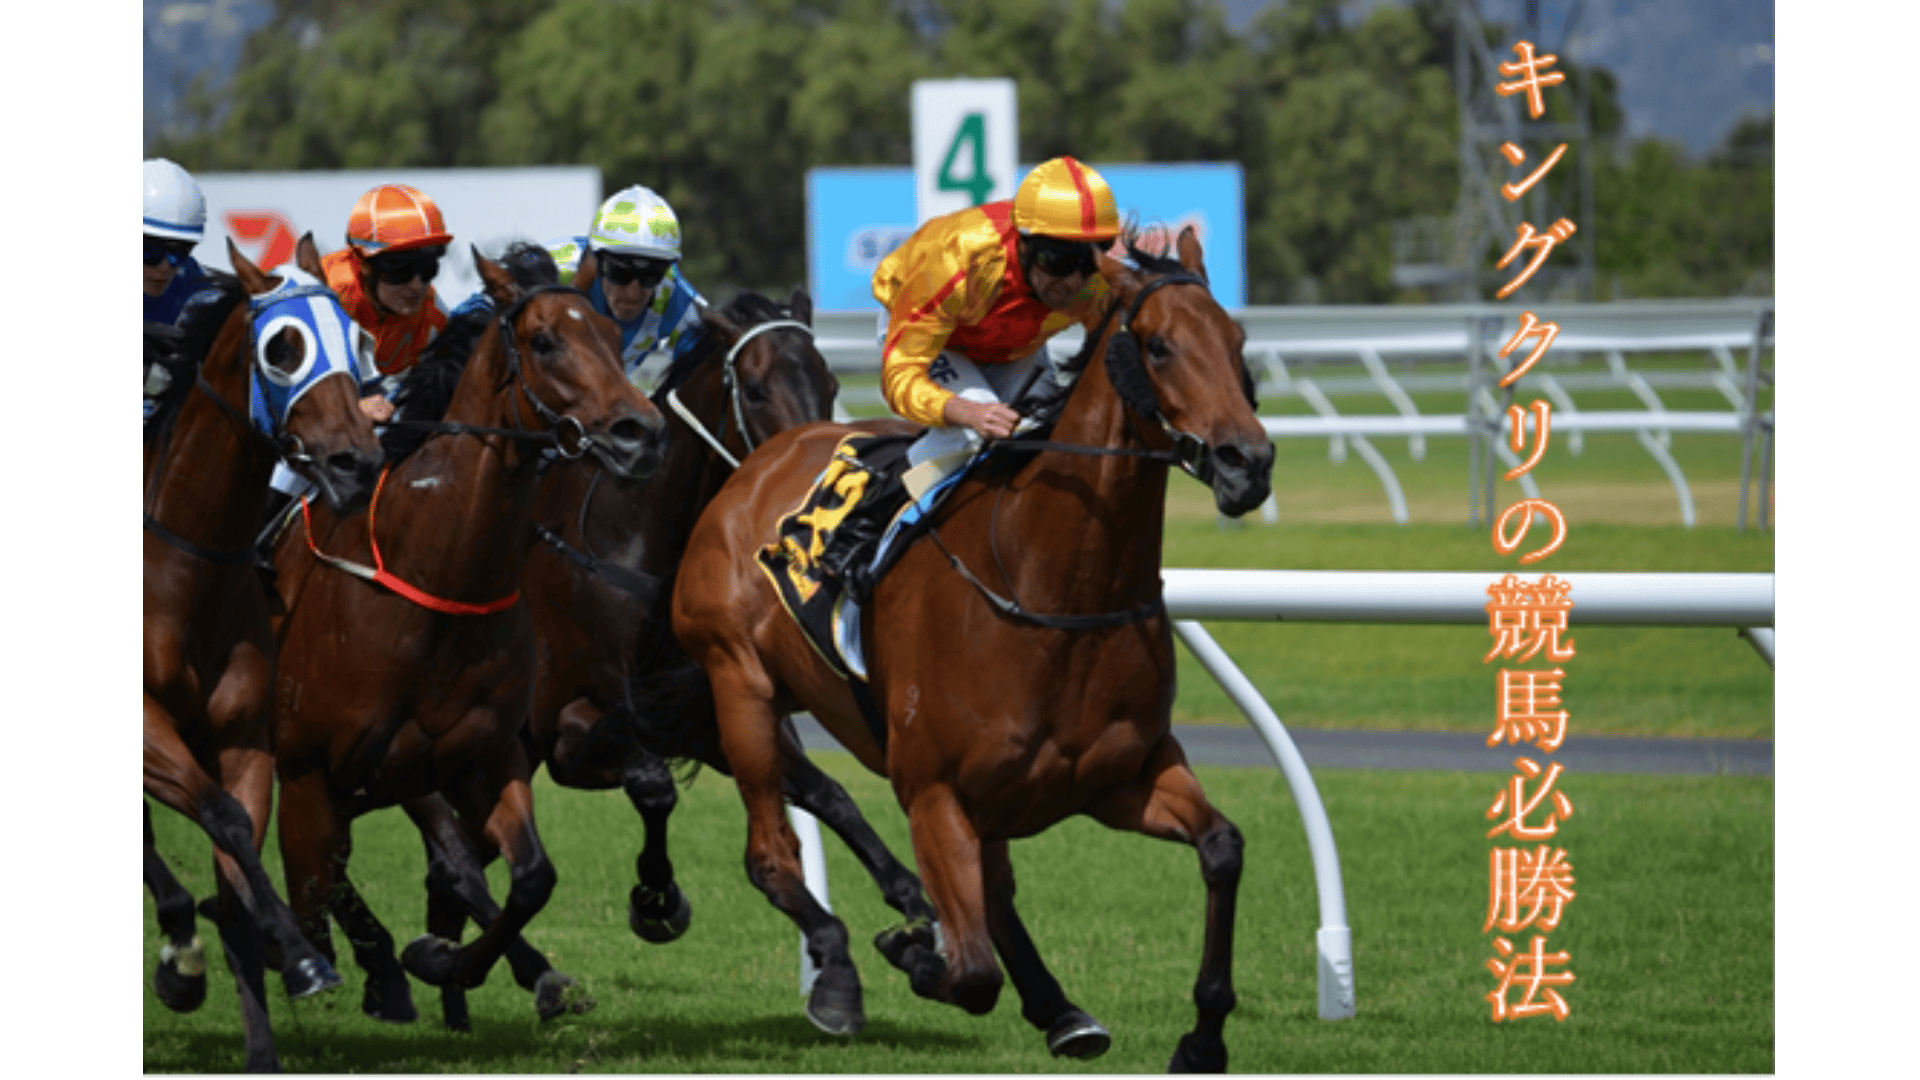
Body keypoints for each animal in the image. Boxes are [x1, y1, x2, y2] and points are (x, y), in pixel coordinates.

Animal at [143, 234, 384, 1073]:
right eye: (283, 348)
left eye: (362, 341)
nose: (355, 464)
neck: (183, 568)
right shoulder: (145, 728)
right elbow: (220, 819)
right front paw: (298, 954)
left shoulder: (244, 737)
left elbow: (238, 845)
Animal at [265, 247, 665, 1029]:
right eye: (544, 341)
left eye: (612, 334)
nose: (640, 431)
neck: (437, 577)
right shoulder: (314, 770)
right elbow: (329, 880)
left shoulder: (484, 757)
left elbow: (529, 876)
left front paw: (448, 961)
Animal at [400, 280, 937, 1030]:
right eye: (755, 388)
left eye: (830, 381)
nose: (819, 466)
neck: (631, 549)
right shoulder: (569, 730)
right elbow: (654, 786)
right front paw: (657, 898)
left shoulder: (698, 712)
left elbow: (830, 797)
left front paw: (910, 906)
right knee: (457, 865)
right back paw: (516, 975)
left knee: (455, 872)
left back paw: (453, 994)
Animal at [671, 227, 1274, 1070]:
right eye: (1158, 347)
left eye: (1237, 341)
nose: (1247, 464)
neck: (1050, 588)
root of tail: (757, 463)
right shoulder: (932, 792)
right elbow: (972, 972)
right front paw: (912, 949)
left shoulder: (1123, 776)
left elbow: (1223, 847)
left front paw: (1202, 1038)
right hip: (740, 688)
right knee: (771, 854)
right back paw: (842, 978)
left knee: (994, 891)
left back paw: (1060, 1009)